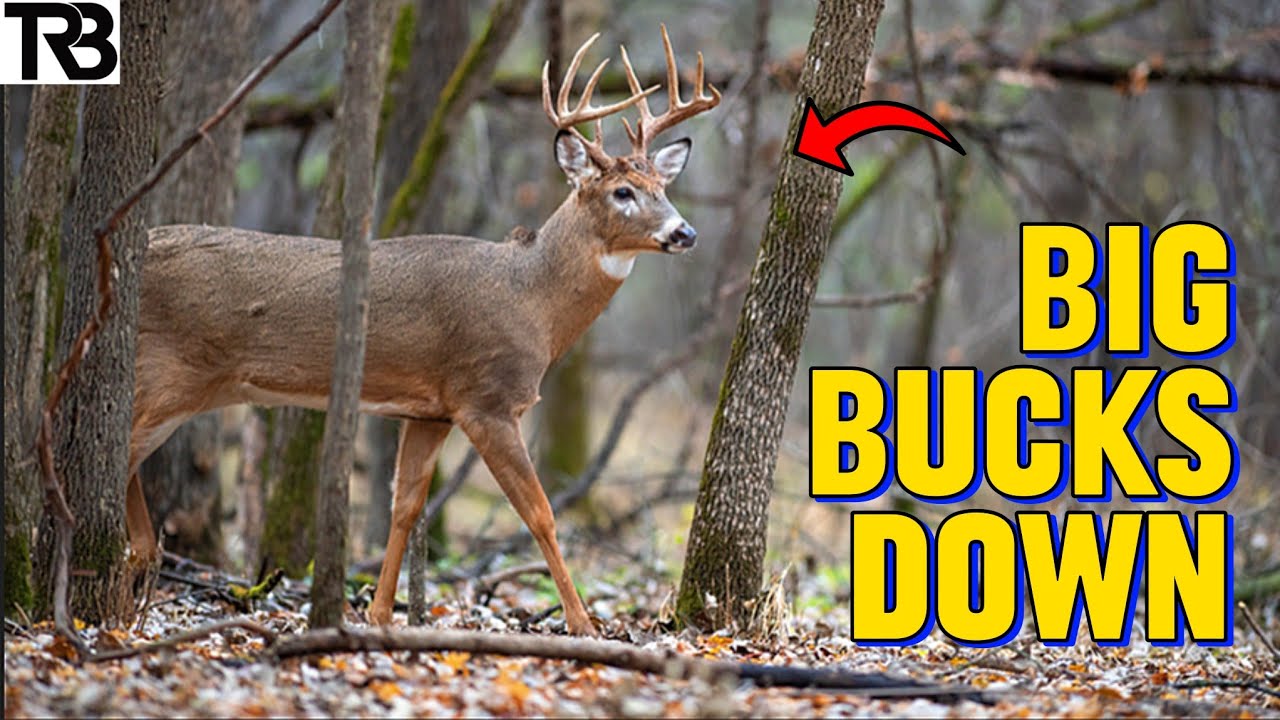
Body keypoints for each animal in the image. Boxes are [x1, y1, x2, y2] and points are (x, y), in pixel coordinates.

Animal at [125, 27, 720, 636]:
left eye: (662, 185)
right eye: (622, 191)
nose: (685, 232)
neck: (531, 299)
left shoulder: (430, 411)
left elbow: (405, 506)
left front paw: (380, 613)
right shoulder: (486, 399)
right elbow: (540, 512)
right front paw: (583, 624)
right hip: (169, 370)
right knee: (119, 450)